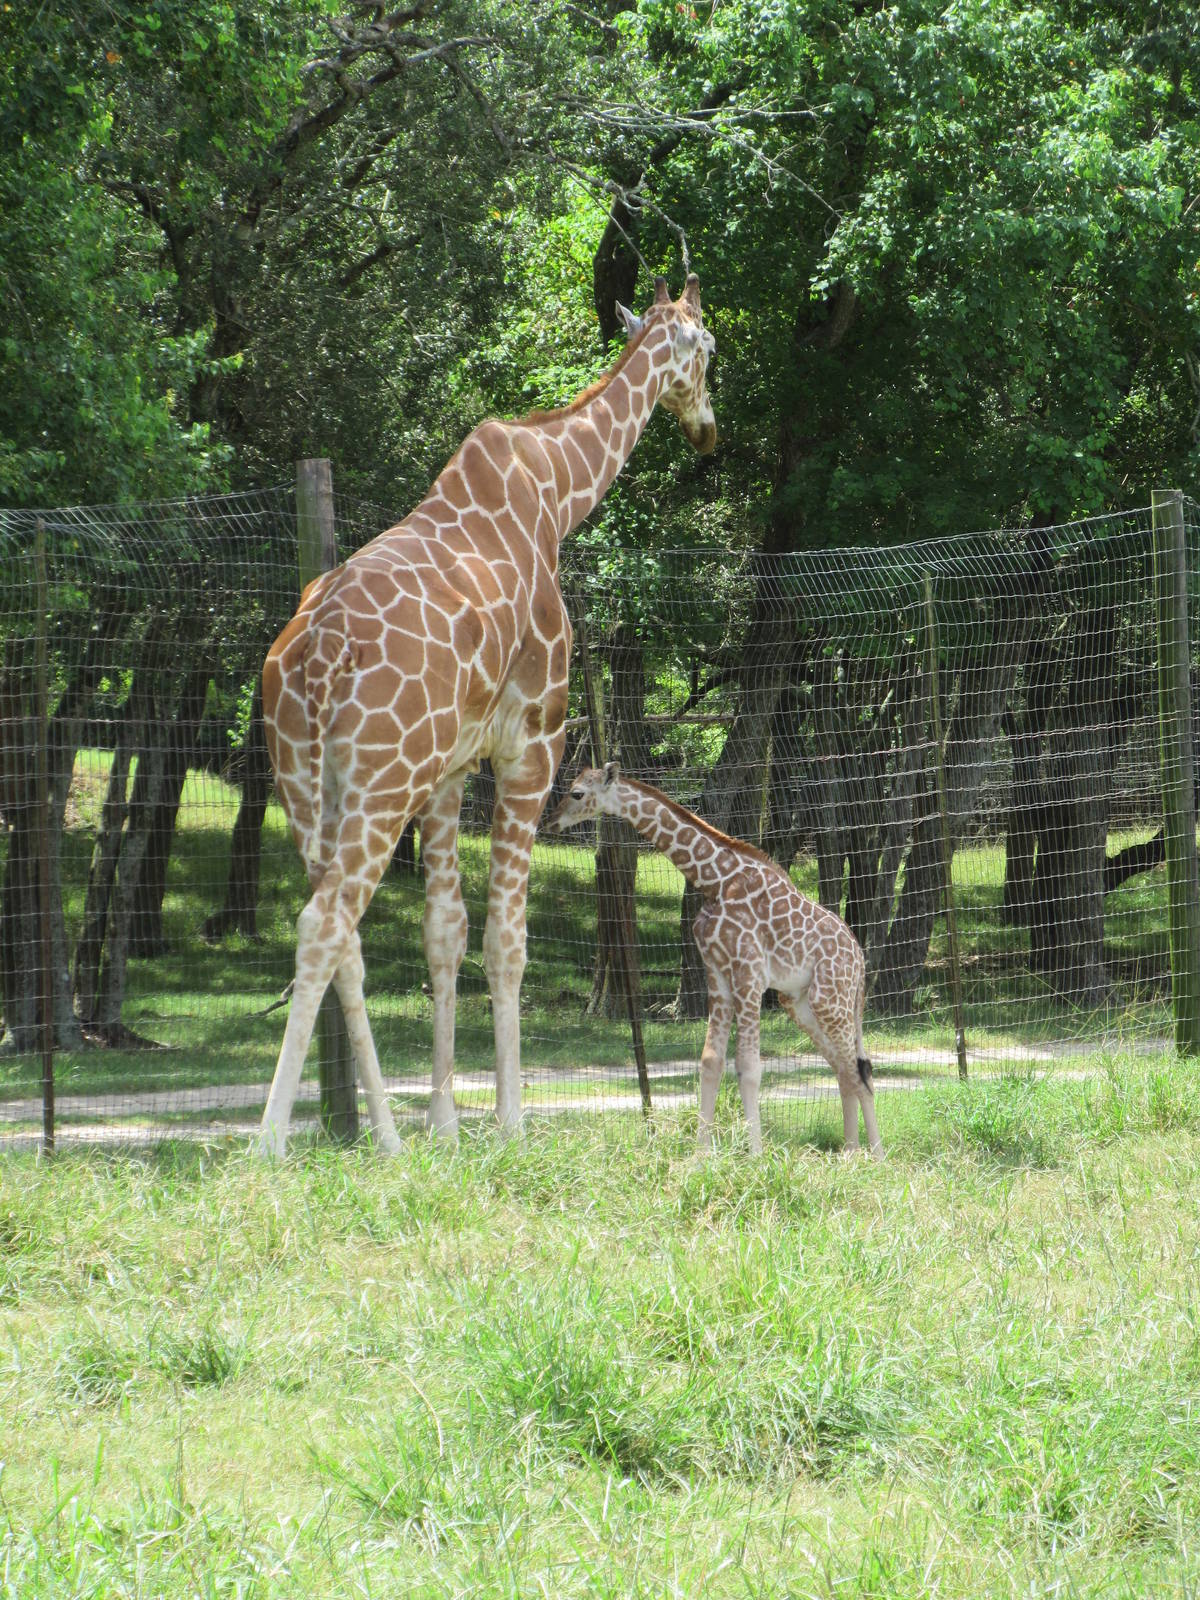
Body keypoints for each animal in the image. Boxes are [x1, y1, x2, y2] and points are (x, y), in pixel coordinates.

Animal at [257, 277, 717, 1157]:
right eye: (708, 346)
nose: (708, 429)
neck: (557, 499)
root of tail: (315, 657)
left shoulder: (446, 770)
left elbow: (445, 933)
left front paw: (443, 1125)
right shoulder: (530, 744)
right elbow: (508, 941)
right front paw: (510, 1125)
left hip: (305, 782)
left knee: (346, 939)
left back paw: (389, 1141)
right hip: (378, 784)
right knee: (323, 925)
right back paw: (268, 1145)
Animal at [544, 764, 883, 1157]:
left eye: (577, 793)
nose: (551, 821)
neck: (713, 881)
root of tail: (859, 958)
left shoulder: (748, 974)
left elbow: (749, 1067)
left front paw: (755, 1155)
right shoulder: (717, 974)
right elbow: (710, 1062)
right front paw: (701, 1155)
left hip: (831, 999)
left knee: (860, 1072)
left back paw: (875, 1157)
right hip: (800, 1004)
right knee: (845, 1070)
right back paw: (850, 1155)